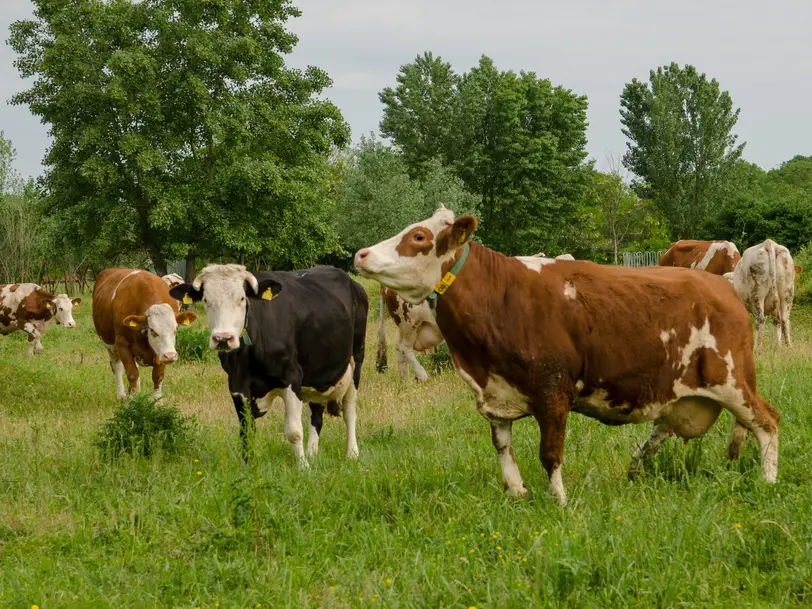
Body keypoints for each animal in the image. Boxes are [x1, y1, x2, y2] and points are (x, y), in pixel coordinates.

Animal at [92, 268, 197, 402]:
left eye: (175, 329)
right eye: (152, 330)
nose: (170, 356)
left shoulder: (161, 351)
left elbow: (157, 376)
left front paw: (157, 402)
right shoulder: (122, 343)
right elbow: (132, 374)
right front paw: (133, 402)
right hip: (110, 345)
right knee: (117, 367)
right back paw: (121, 396)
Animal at [170, 264, 370, 464]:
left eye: (241, 298)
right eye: (205, 299)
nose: (223, 339)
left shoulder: (292, 376)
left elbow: (294, 431)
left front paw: (303, 466)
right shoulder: (236, 384)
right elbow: (246, 431)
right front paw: (248, 464)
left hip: (356, 358)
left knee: (349, 409)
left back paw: (352, 453)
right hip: (317, 370)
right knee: (316, 414)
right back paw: (312, 453)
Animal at [354, 209, 780, 504]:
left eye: (419, 236)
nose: (360, 254)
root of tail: (724, 289)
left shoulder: (553, 391)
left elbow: (550, 453)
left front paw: (557, 500)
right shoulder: (495, 394)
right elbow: (502, 447)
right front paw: (517, 493)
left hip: (732, 381)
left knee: (767, 421)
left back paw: (768, 481)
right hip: (681, 390)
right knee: (664, 428)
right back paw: (635, 466)